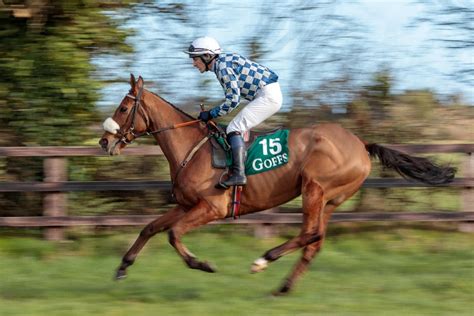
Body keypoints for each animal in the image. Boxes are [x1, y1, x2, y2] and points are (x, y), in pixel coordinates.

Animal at [99, 75, 456, 296]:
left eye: (125, 107)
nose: (104, 141)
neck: (192, 148)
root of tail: (360, 143)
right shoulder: (187, 205)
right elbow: (150, 227)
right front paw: (121, 269)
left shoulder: (211, 208)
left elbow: (173, 235)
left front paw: (203, 264)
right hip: (331, 200)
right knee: (315, 241)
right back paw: (283, 287)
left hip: (314, 189)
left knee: (310, 234)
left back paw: (263, 261)